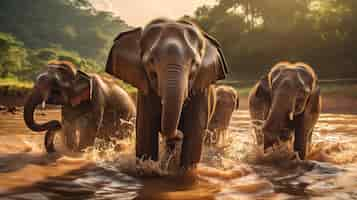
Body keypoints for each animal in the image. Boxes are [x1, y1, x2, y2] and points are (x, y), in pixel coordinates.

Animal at [105, 18, 228, 169]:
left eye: (194, 64)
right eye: (150, 61)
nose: (178, 135)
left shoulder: (201, 92)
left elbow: (194, 137)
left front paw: (186, 171)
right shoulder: (145, 92)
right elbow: (145, 134)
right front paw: (148, 167)